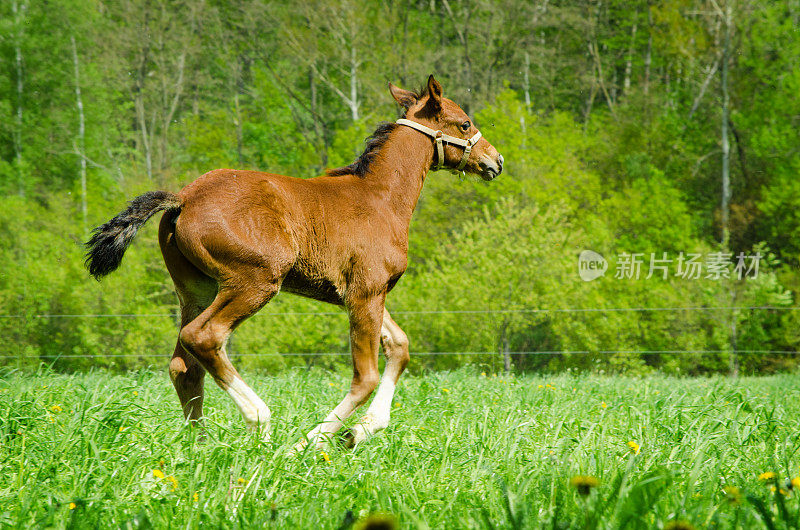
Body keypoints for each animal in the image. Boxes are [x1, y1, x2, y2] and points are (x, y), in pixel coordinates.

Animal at [86, 75, 500, 450]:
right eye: (464, 123)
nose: (495, 160)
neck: (380, 197)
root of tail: (183, 198)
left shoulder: (364, 294)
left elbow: (399, 346)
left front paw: (362, 430)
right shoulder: (365, 292)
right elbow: (365, 376)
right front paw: (314, 440)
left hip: (196, 290)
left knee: (183, 366)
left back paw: (199, 448)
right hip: (255, 282)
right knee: (204, 337)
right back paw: (260, 424)